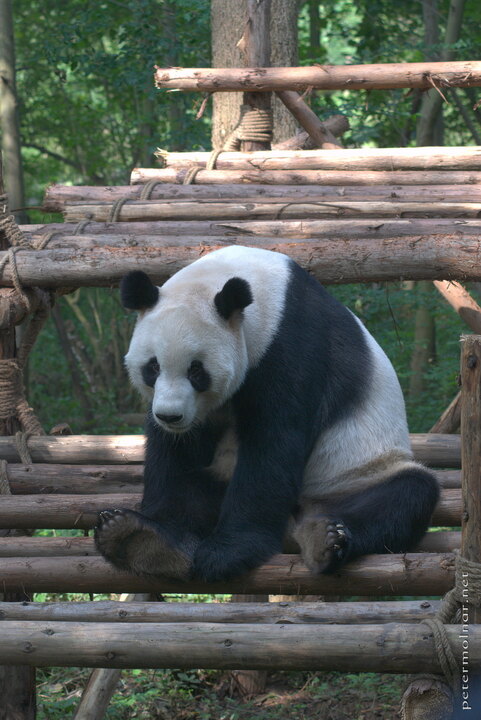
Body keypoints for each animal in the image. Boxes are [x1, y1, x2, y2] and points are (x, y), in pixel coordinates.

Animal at [94, 245, 438, 584]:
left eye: (196, 371)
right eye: (152, 367)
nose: (170, 416)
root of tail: (296, 523)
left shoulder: (293, 345)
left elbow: (273, 440)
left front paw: (227, 554)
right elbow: (174, 455)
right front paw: (156, 534)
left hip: (358, 472)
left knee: (407, 493)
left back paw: (325, 537)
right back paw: (137, 540)